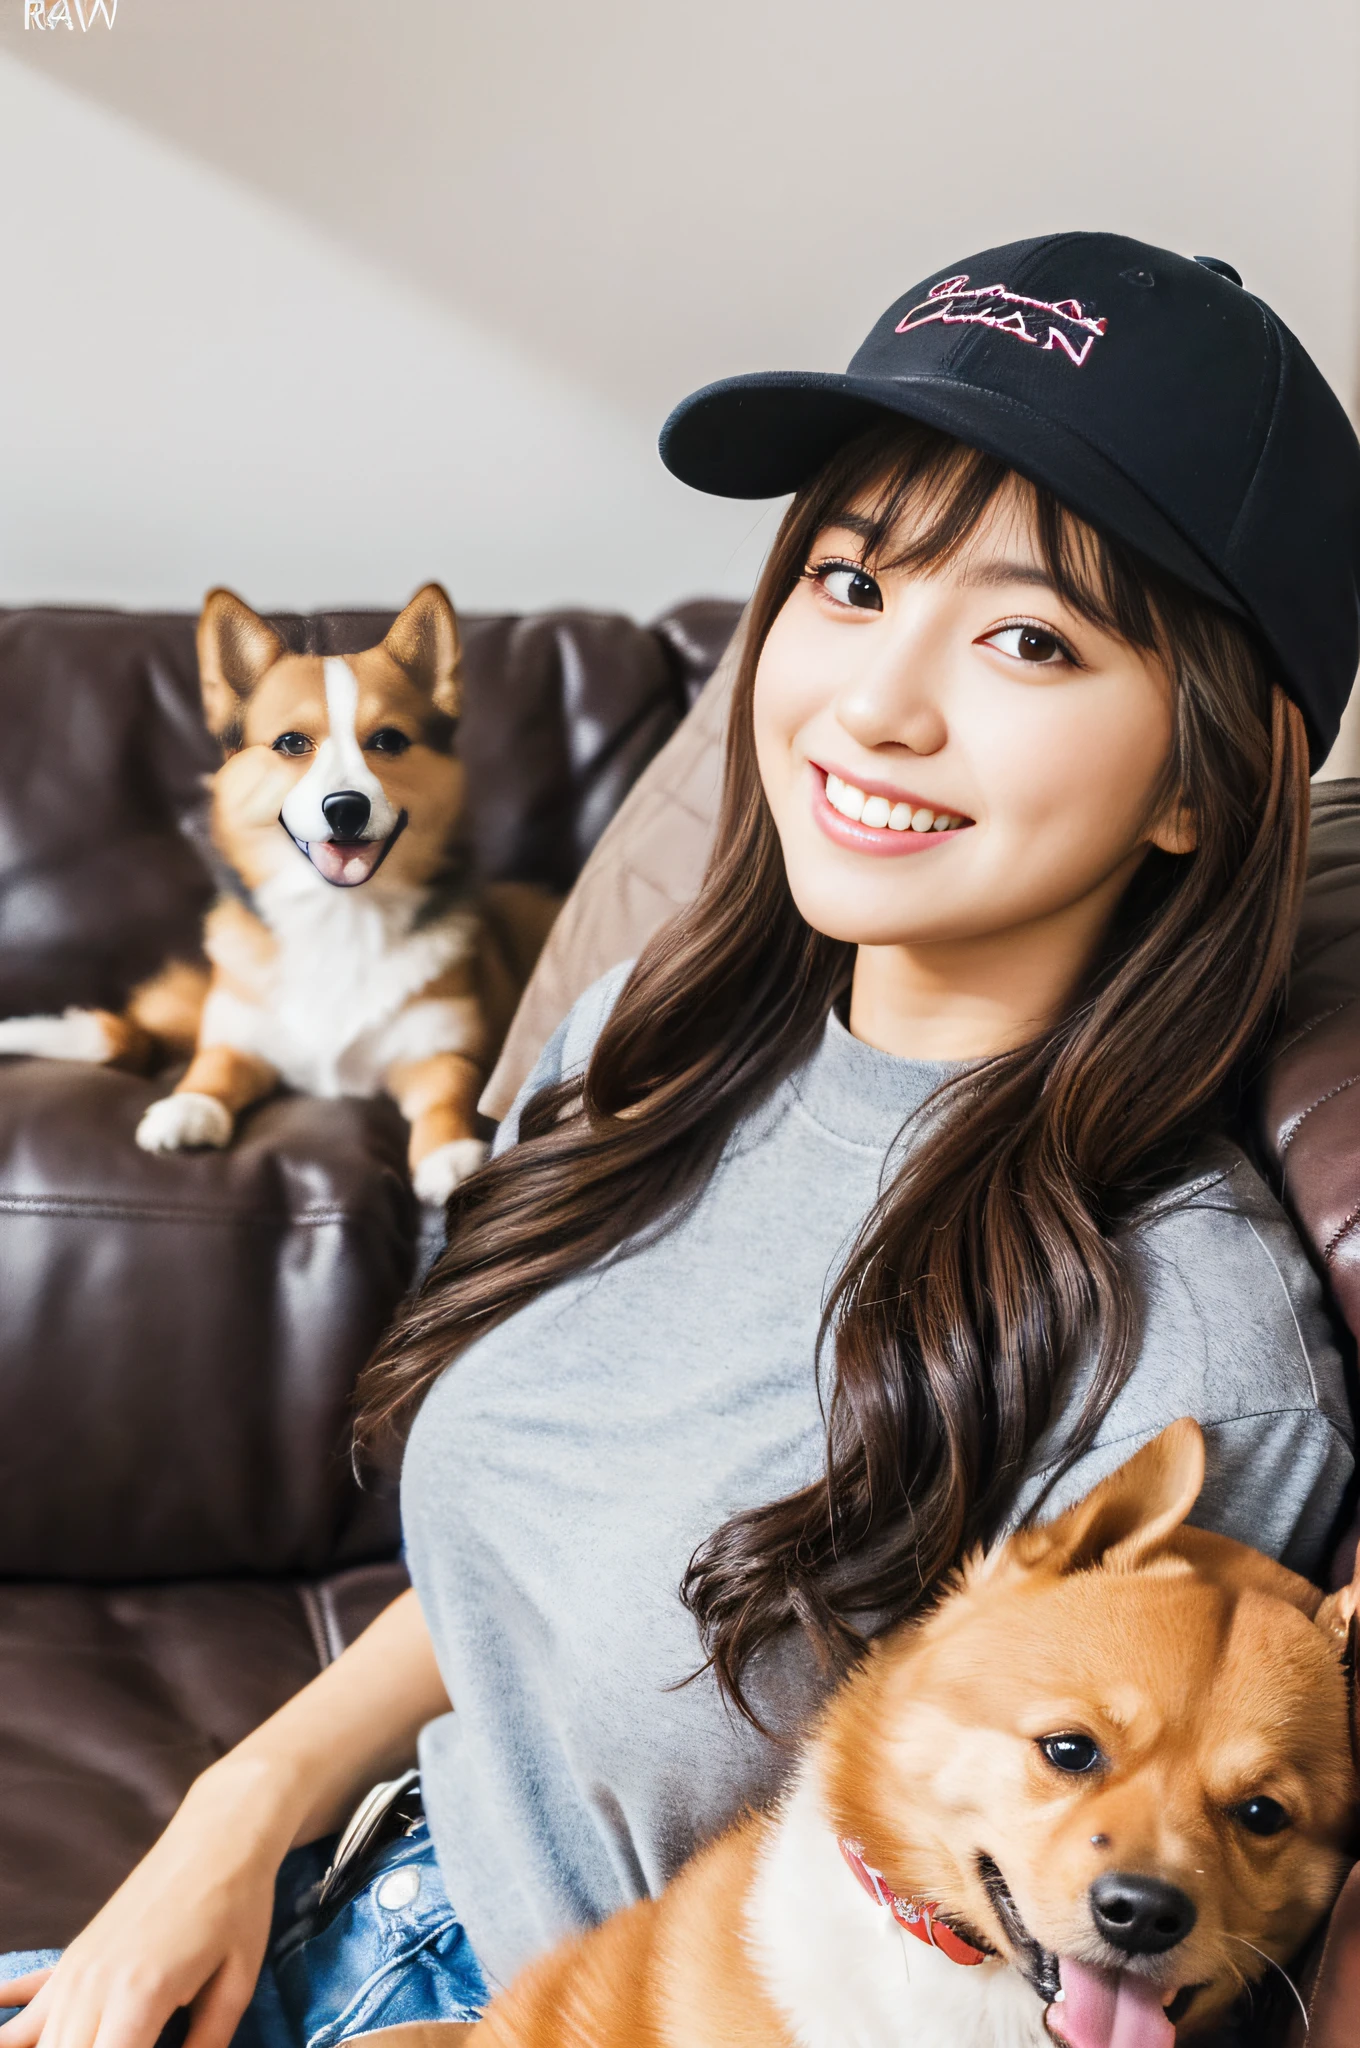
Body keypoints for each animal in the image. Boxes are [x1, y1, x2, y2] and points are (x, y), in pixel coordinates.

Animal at [1, 585, 553, 1196]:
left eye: (389, 740)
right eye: (291, 743)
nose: (346, 808)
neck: (340, 920)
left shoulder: (442, 1050)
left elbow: (449, 1093)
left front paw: (449, 1152)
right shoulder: (236, 1036)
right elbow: (211, 1064)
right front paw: (188, 1106)